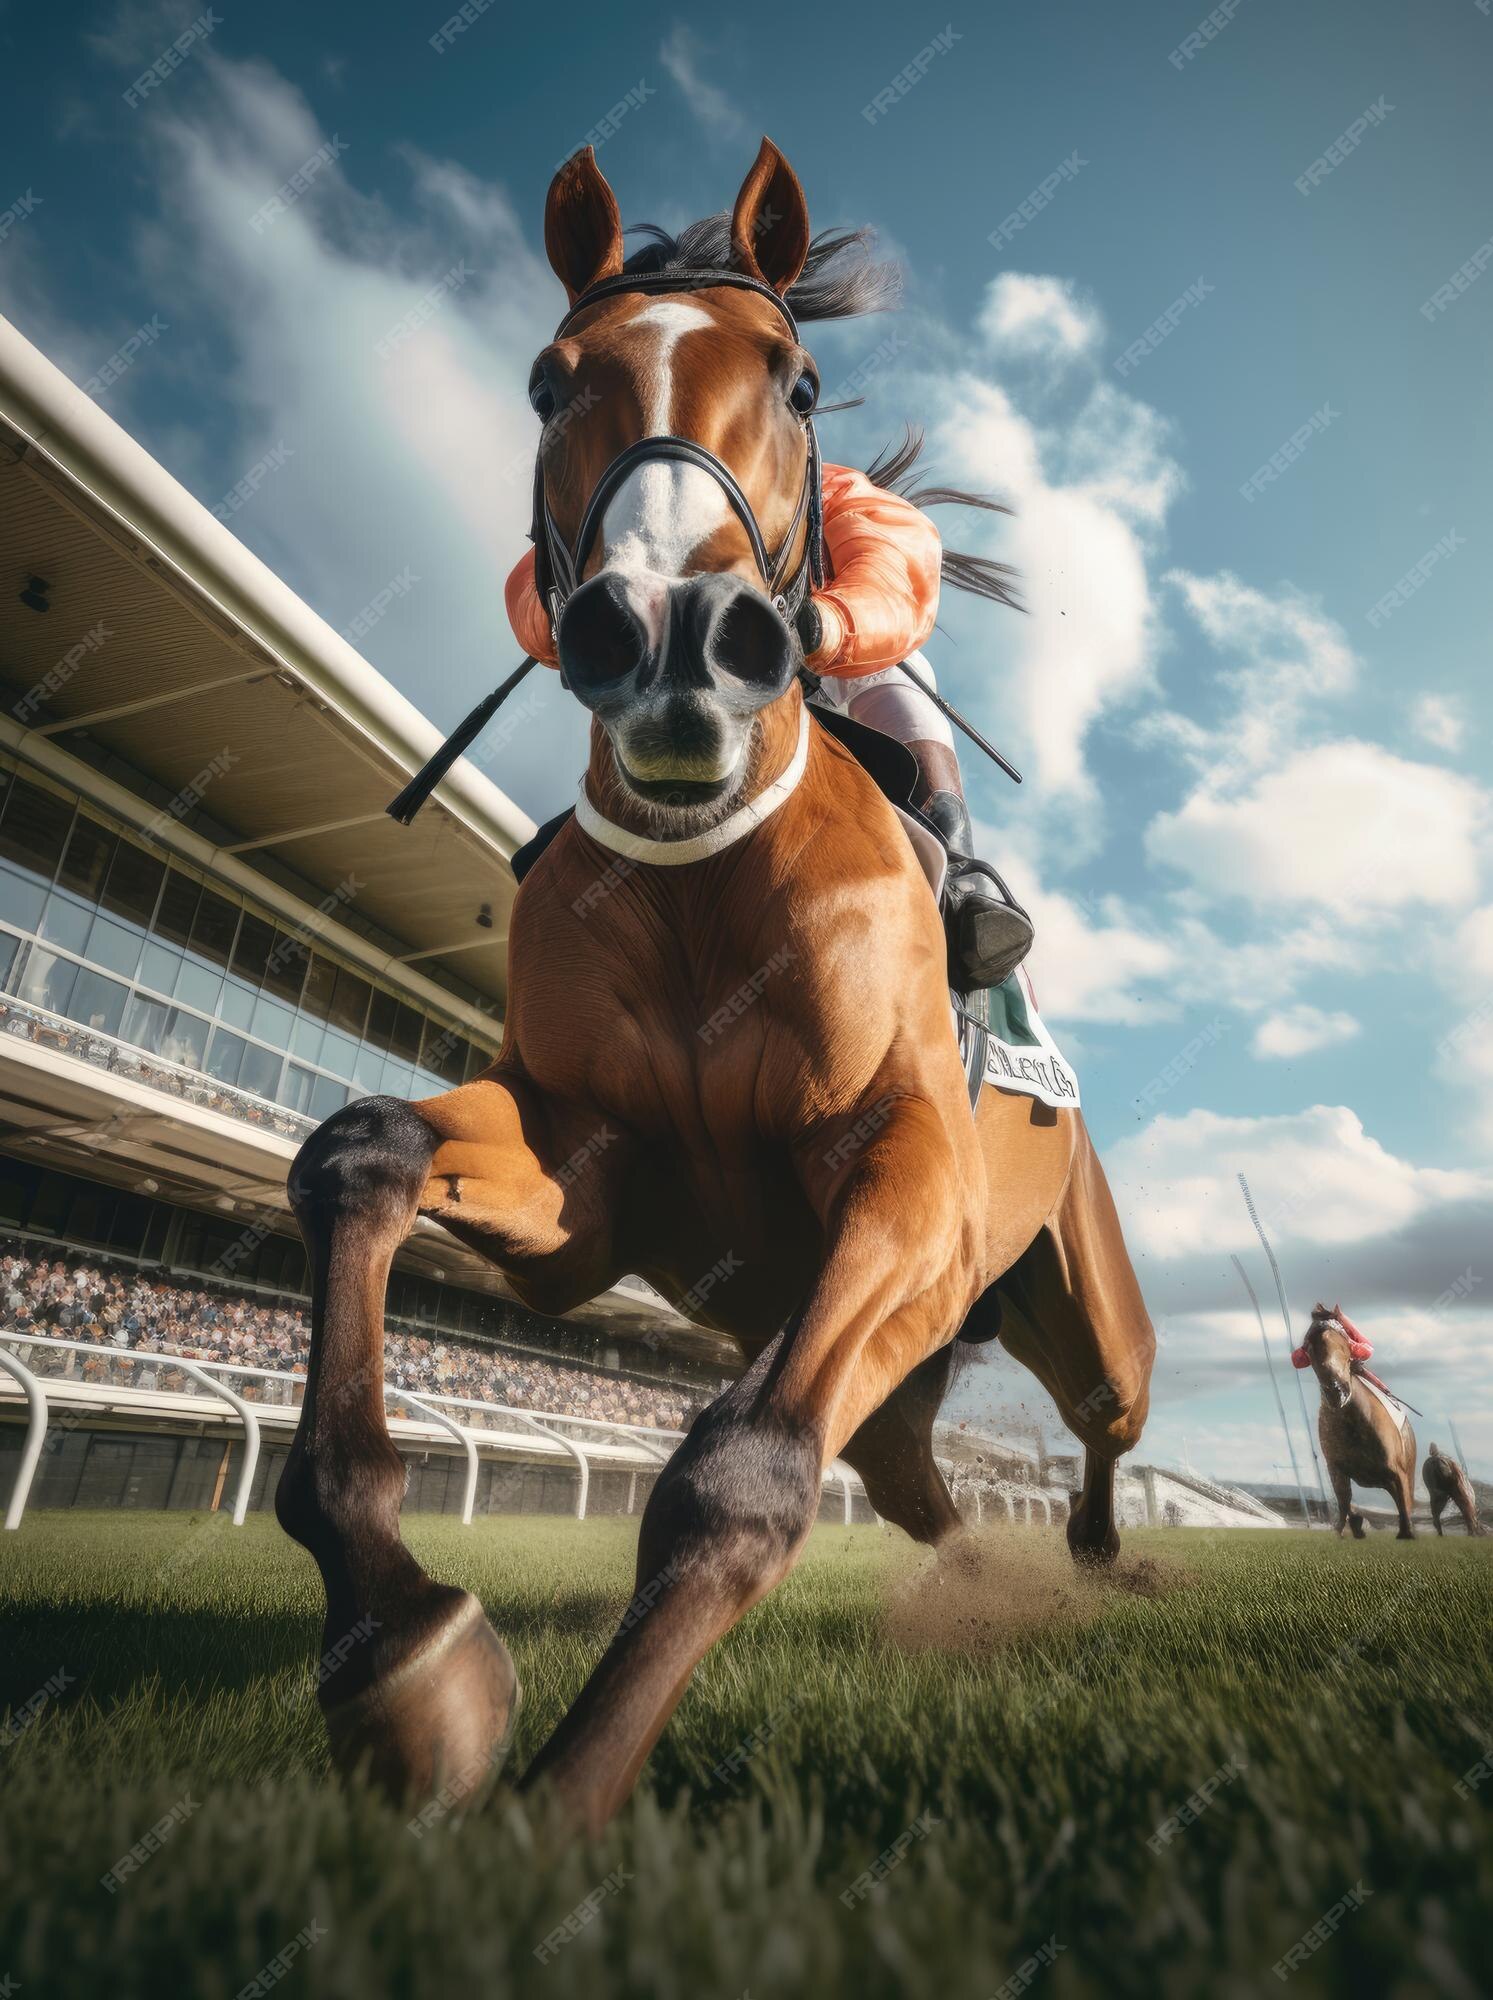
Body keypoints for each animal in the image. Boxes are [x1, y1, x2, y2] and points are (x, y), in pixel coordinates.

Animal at [276, 137, 1152, 1832]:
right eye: (549, 385)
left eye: (798, 382)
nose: (670, 634)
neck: (700, 878)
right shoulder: (589, 1179)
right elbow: (359, 1151)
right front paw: (399, 1640)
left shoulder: (908, 1174)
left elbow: (738, 1474)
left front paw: (554, 1808)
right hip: (909, 1369)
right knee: (918, 1489)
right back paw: (993, 1585)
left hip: (1079, 1315)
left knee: (1091, 1430)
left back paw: (1091, 1560)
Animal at [1288, 1304, 1416, 1536]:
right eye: (1309, 1347)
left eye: (1344, 1343)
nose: (1336, 1391)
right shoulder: (1336, 1470)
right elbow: (1344, 1505)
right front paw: (1354, 1525)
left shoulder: (1399, 1475)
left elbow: (1404, 1513)